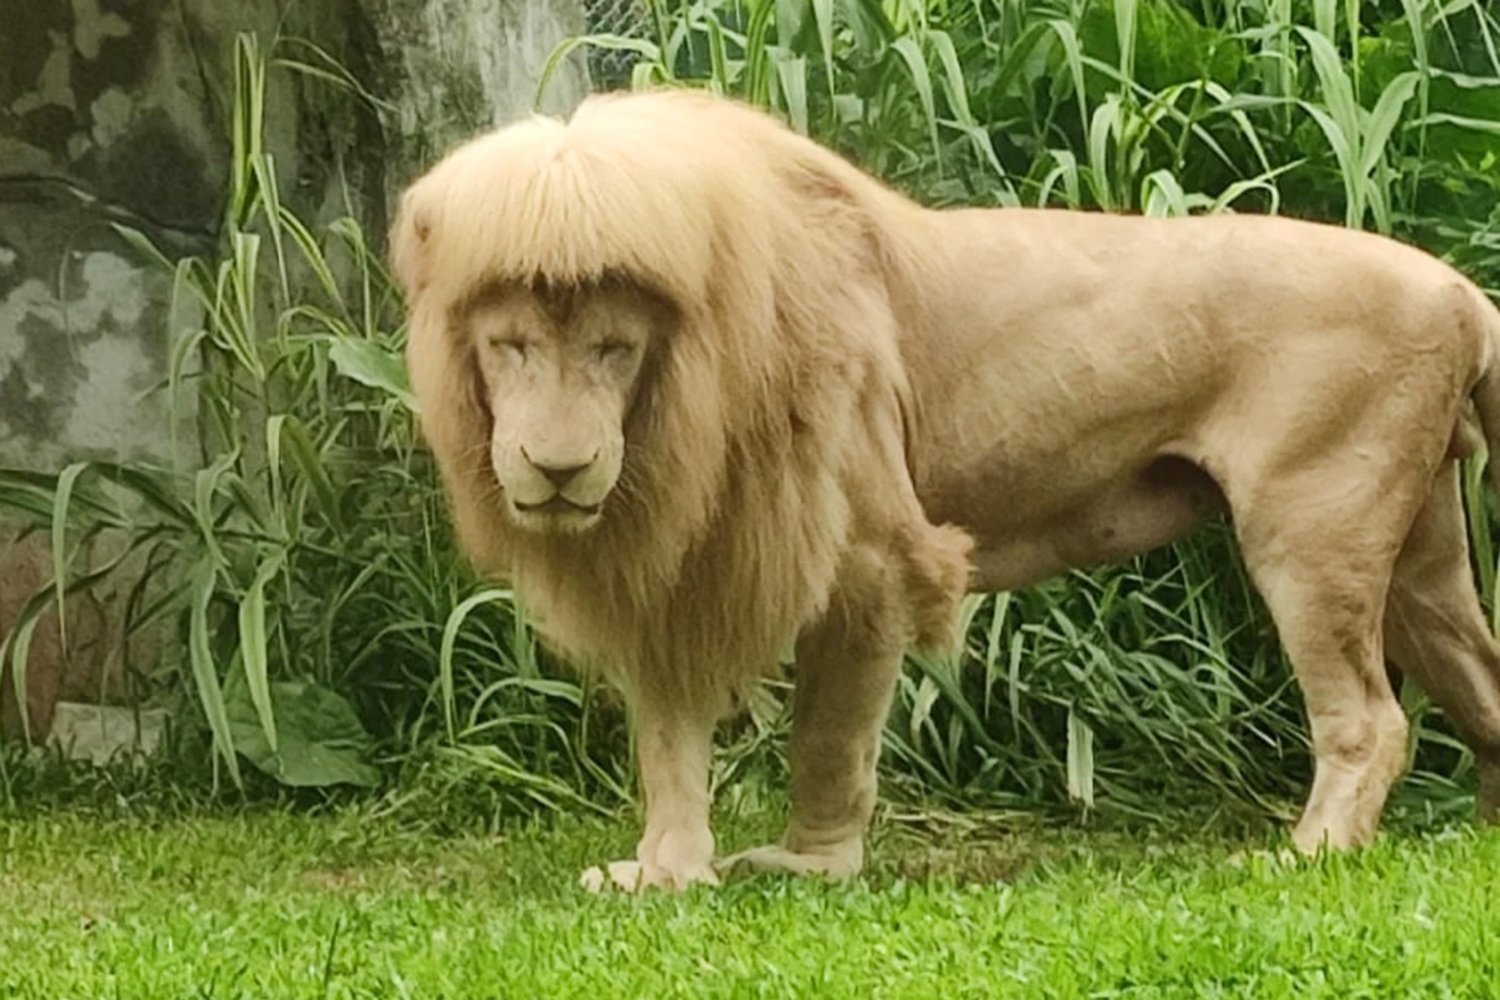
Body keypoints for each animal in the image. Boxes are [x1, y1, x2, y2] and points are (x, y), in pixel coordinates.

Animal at [396, 89, 1500, 893]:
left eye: (615, 349)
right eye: (511, 346)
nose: (558, 466)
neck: (684, 399)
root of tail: (1459, 290)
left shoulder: (873, 557)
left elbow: (828, 736)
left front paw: (810, 866)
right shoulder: (679, 568)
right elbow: (669, 741)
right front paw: (664, 873)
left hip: (1311, 528)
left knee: (1372, 719)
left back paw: (1308, 852)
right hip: (1421, 557)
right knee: (1481, 680)